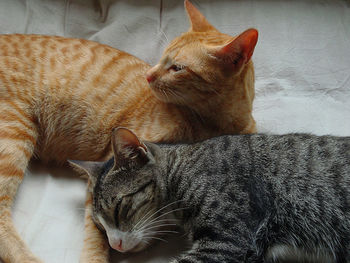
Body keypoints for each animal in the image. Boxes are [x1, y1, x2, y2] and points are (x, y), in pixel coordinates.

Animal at [0, 1, 258, 262]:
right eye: (162, 56)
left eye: (177, 68)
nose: (148, 75)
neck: (211, 123)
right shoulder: (106, 168)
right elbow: (97, 230)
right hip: (14, 133)